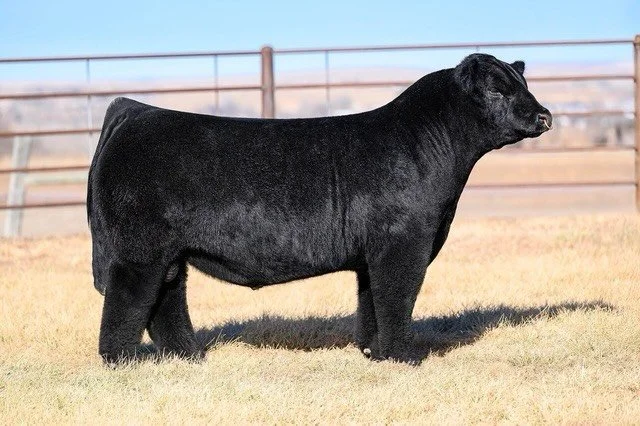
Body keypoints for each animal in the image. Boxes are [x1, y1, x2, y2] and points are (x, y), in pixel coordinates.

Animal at [88, 53, 552, 364]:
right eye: (497, 89)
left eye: (525, 85)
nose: (545, 116)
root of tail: (134, 110)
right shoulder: (403, 242)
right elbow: (397, 296)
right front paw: (404, 357)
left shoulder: (371, 254)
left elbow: (371, 302)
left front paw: (373, 352)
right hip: (139, 251)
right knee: (128, 300)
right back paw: (123, 362)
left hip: (169, 254)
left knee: (166, 300)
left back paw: (188, 357)